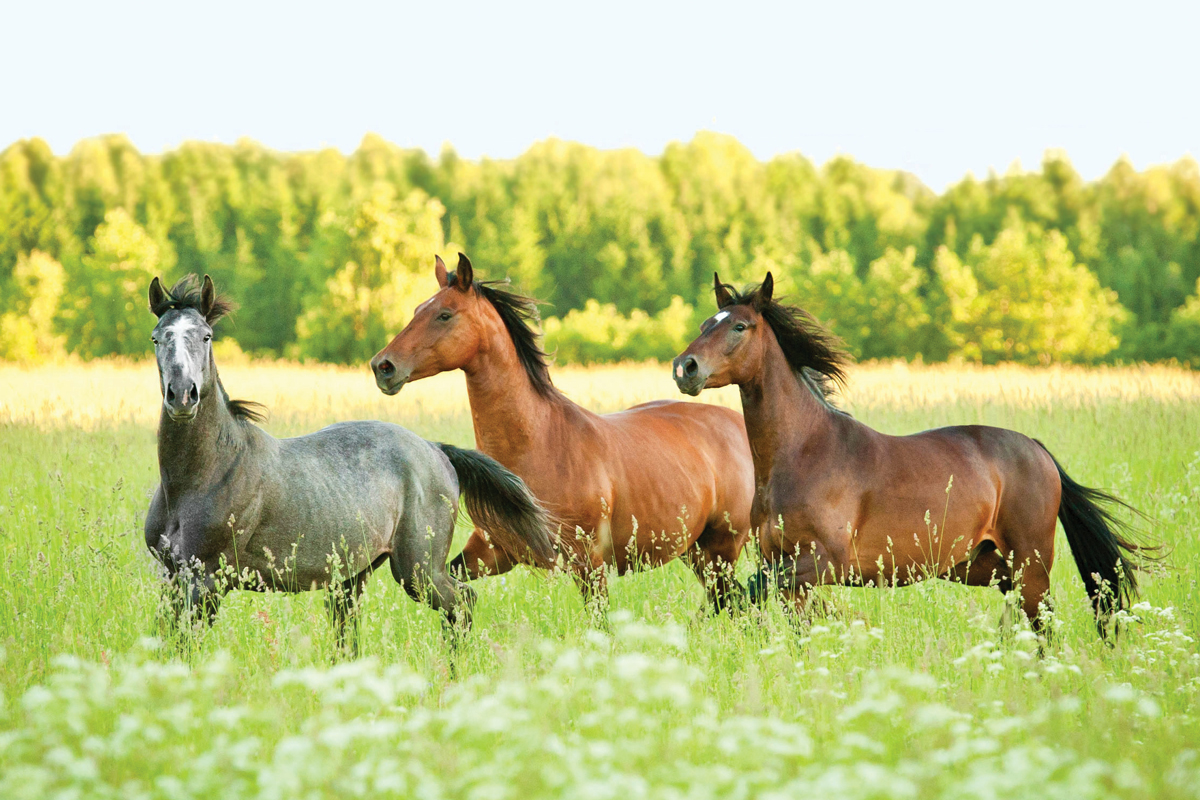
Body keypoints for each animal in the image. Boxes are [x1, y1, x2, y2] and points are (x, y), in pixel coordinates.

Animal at [143, 274, 559, 655]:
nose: (182, 396)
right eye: (157, 337)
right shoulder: (171, 577)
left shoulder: (207, 579)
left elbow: (186, 648)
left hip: (419, 569)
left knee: (463, 604)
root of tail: (436, 450)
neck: (202, 477)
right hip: (353, 578)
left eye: (206, 336)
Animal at [368, 254, 755, 612]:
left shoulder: (588, 563)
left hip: (720, 549)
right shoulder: (492, 552)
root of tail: (738, 425)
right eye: (418, 309)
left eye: (444, 314)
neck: (540, 444)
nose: (383, 366)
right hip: (697, 552)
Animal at [671, 271, 1149, 639]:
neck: (804, 454)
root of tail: (1036, 449)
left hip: (1030, 562)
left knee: (1043, 622)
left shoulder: (824, 562)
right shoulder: (784, 566)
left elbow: (744, 592)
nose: (685, 368)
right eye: (706, 323)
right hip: (983, 565)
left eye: (740, 327)